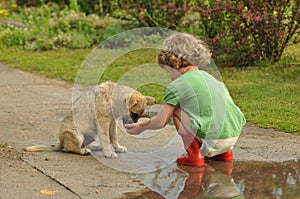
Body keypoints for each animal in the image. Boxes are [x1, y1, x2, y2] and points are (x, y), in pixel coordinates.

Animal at [24, 81, 156, 159]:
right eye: (134, 114)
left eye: (139, 115)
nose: (133, 128)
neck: (113, 98)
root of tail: (60, 142)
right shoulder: (103, 122)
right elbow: (106, 138)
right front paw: (109, 153)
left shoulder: (112, 123)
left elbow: (113, 137)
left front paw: (117, 147)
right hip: (77, 134)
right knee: (71, 148)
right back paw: (83, 151)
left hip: (91, 135)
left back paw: (95, 147)